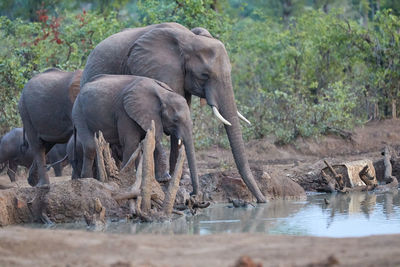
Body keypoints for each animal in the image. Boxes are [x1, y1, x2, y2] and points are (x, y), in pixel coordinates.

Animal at [81, 22, 266, 203]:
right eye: (204, 75)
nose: (262, 200)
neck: (189, 39)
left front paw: (179, 179)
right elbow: (155, 127)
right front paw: (164, 179)